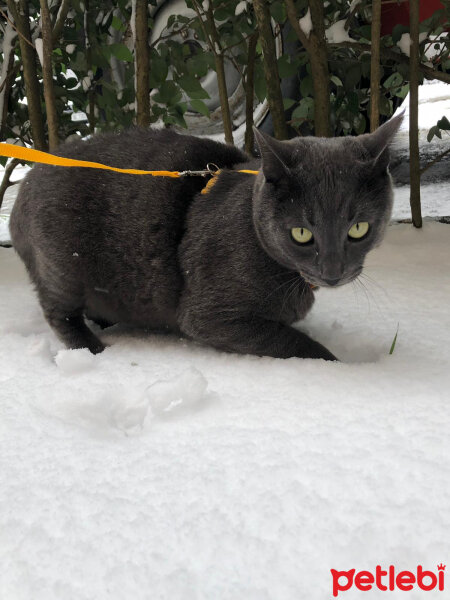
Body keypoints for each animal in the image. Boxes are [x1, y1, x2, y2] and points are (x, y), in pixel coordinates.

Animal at [8, 116, 402, 360]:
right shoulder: (211, 317)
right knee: (58, 311)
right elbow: (293, 341)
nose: (333, 272)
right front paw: (333, 363)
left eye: (358, 229)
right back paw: (94, 347)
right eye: (302, 234)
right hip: (64, 263)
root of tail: (29, 177)